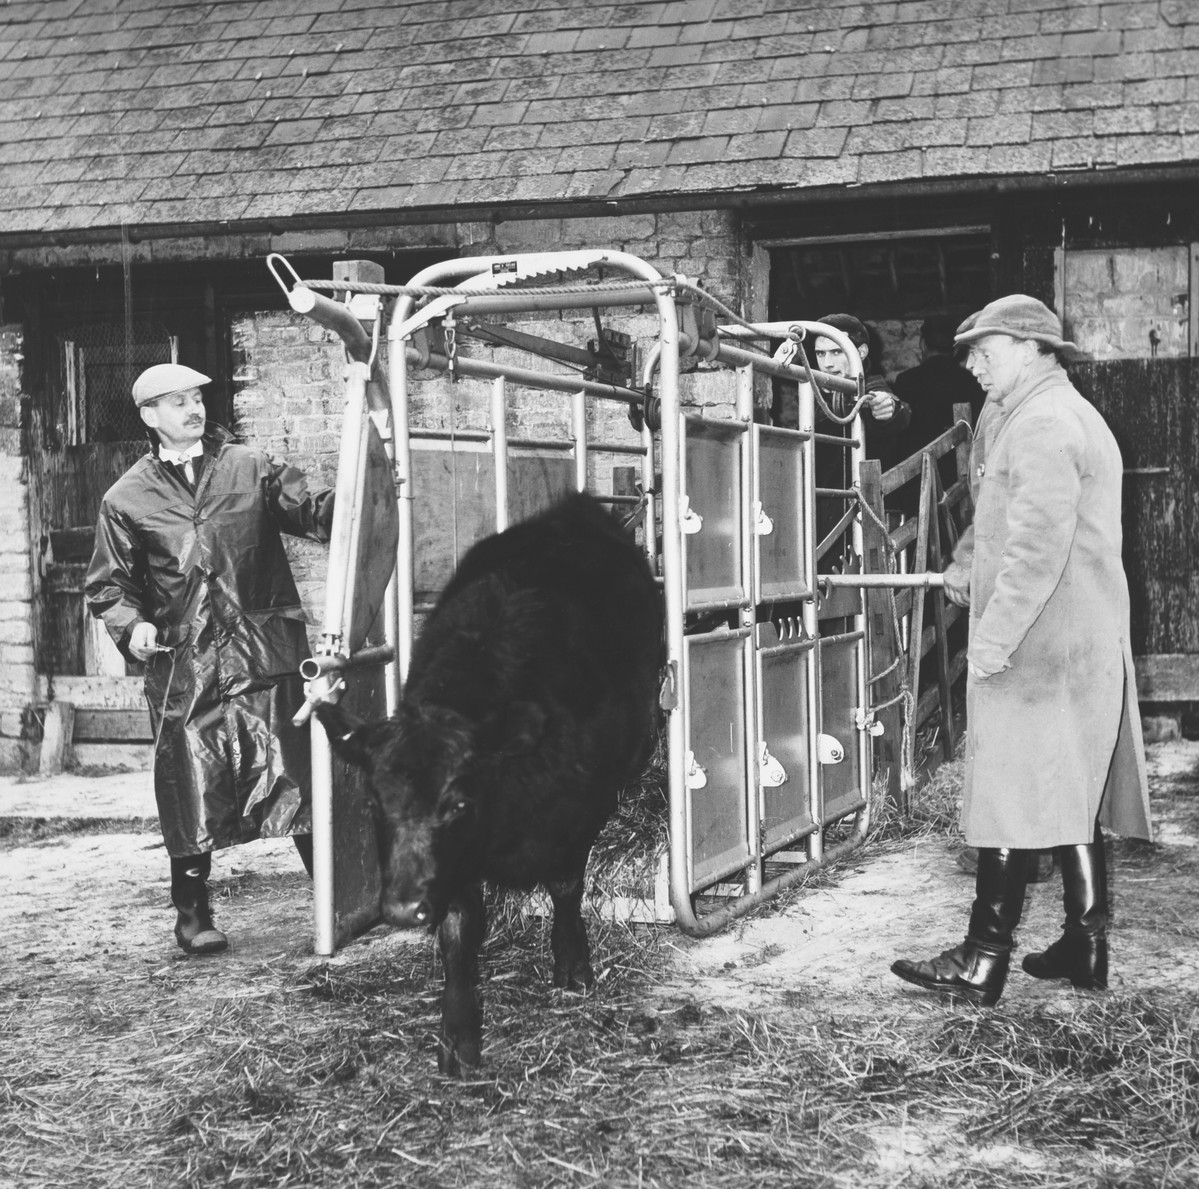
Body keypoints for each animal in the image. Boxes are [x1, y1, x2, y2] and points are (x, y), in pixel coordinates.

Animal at [314, 491, 661, 1078]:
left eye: (457, 803)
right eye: (373, 803)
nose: (401, 910)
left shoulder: (577, 812)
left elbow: (566, 887)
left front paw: (573, 962)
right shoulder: (450, 868)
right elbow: (460, 928)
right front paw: (458, 1033)